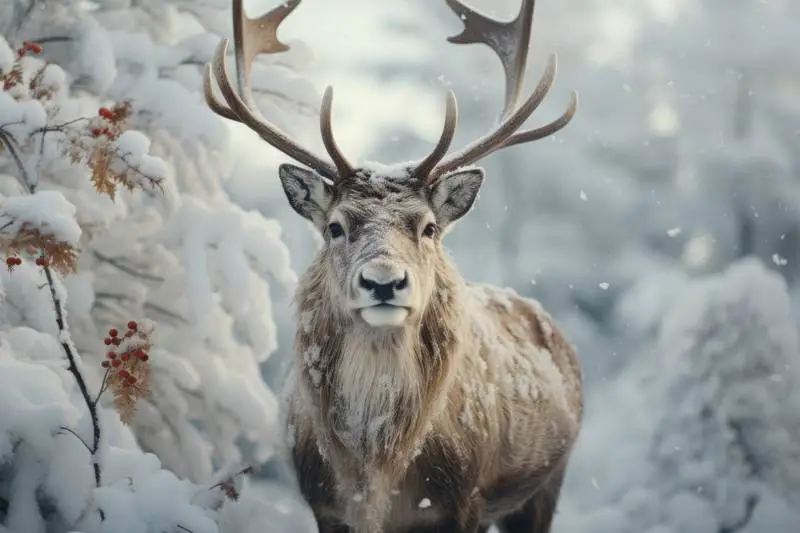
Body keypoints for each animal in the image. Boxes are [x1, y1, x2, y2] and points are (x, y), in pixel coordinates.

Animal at [204, 0, 583, 531]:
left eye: (428, 227)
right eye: (335, 226)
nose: (383, 282)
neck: (375, 478)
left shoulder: (462, 505)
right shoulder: (323, 506)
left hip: (547, 482)